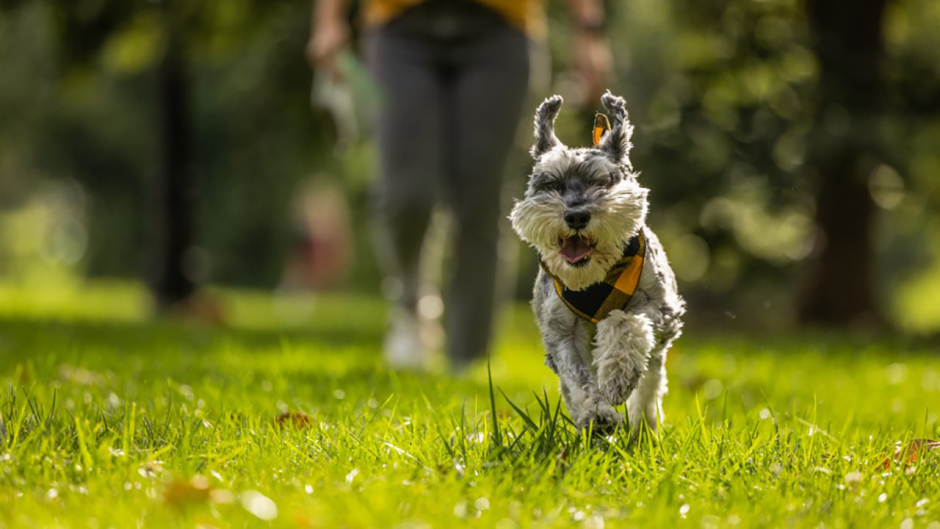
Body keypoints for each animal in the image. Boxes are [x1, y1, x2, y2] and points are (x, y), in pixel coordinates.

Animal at [516, 93, 684, 436]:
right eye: (551, 184)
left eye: (601, 183)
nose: (576, 216)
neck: (595, 282)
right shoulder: (560, 332)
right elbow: (577, 379)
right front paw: (597, 414)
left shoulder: (662, 311)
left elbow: (624, 321)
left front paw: (618, 375)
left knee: (649, 388)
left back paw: (644, 427)